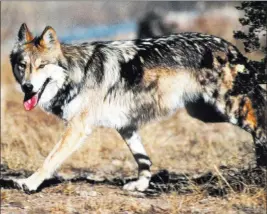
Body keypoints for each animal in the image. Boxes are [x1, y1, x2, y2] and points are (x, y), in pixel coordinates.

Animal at [9, 23, 266, 192]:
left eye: (41, 66)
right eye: (23, 65)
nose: (27, 87)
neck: (76, 73)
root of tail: (230, 46)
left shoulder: (78, 127)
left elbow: (50, 159)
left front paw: (29, 183)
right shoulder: (126, 126)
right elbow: (143, 160)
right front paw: (141, 185)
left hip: (228, 109)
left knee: (259, 122)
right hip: (205, 113)